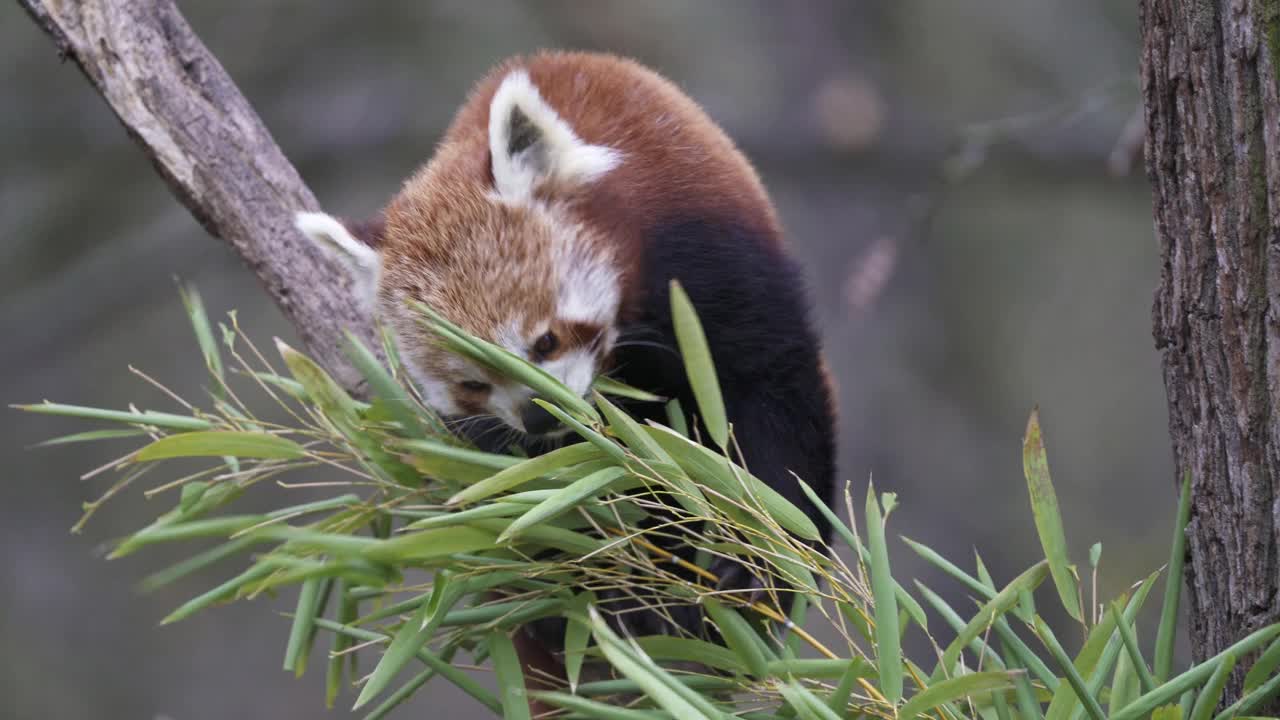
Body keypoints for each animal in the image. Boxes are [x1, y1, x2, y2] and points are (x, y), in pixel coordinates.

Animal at [299, 50, 839, 638]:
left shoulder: (706, 260)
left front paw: (758, 565)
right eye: (472, 383)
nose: (539, 416)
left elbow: (769, 395)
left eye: (545, 341)